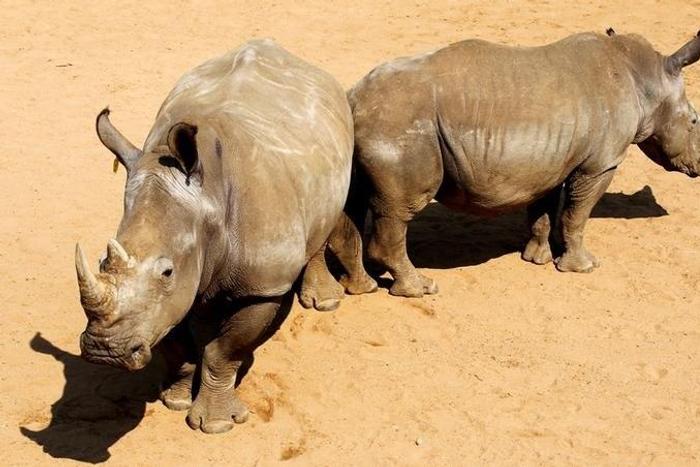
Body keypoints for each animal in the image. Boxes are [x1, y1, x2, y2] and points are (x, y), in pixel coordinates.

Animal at [75, 39, 353, 433]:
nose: (104, 352)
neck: (208, 204)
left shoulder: (261, 287)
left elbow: (223, 352)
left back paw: (324, 303)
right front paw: (174, 399)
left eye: (167, 271)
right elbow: (177, 343)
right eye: (102, 261)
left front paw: (216, 425)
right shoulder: (172, 295)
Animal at [330, 29, 700, 298]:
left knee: (358, 202)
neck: (645, 79)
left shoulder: (551, 158)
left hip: (374, 127)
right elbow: (577, 214)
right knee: (399, 210)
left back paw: (363, 287)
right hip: (398, 127)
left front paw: (539, 258)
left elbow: (544, 212)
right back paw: (419, 289)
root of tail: (354, 99)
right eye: (695, 120)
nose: (698, 165)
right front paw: (583, 267)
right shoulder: (601, 163)